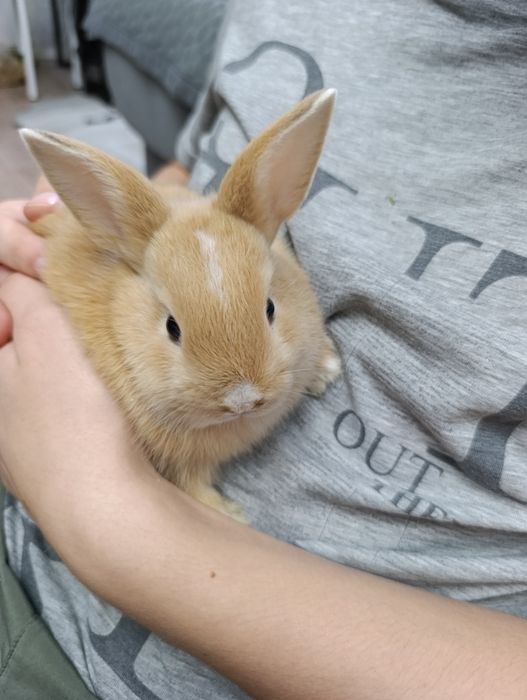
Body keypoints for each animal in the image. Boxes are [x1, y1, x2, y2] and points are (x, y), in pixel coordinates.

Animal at [19, 88, 341, 520]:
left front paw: (327, 368)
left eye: (270, 308)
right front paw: (230, 515)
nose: (241, 398)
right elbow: (192, 488)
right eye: (172, 327)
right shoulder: (177, 462)